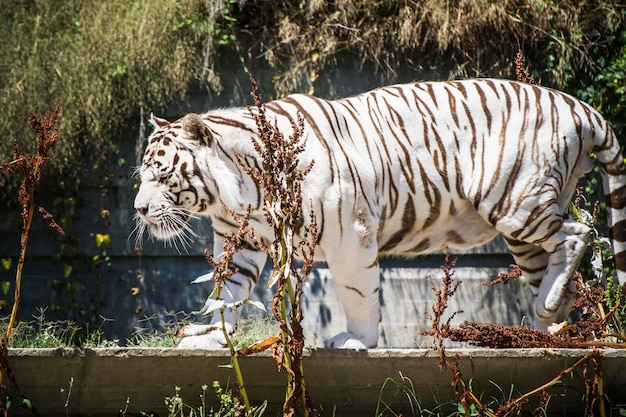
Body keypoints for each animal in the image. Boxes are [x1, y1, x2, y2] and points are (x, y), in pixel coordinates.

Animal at [134, 78, 620, 348]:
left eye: (160, 174)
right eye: (143, 175)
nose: (137, 208)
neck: (237, 192)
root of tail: (581, 107)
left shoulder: (349, 229)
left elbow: (357, 292)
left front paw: (356, 341)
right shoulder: (241, 240)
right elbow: (227, 292)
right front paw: (214, 337)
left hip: (517, 202)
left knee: (581, 232)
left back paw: (548, 308)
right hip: (522, 228)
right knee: (553, 265)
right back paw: (544, 325)